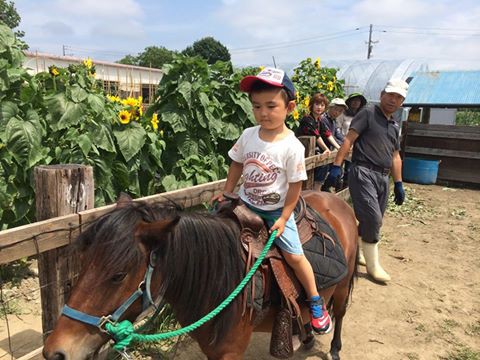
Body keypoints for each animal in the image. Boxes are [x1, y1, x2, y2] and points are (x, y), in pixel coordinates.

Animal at [43, 190, 358, 358]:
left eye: (118, 275)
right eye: (83, 262)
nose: (55, 352)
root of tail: (336, 201)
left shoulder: (229, 352)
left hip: (342, 289)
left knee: (340, 312)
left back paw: (333, 344)